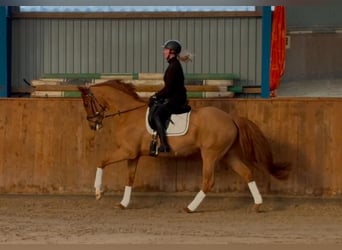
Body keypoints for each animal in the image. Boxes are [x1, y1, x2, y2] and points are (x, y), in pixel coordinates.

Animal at [79, 80, 290, 213]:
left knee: (208, 181)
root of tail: (230, 118)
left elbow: (101, 162)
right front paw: (123, 204)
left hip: (210, 155)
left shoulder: (126, 151)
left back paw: (190, 207)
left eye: (87, 104)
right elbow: (129, 179)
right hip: (227, 154)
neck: (128, 114)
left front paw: (98, 192)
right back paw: (257, 205)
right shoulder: (133, 155)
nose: (92, 125)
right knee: (247, 173)